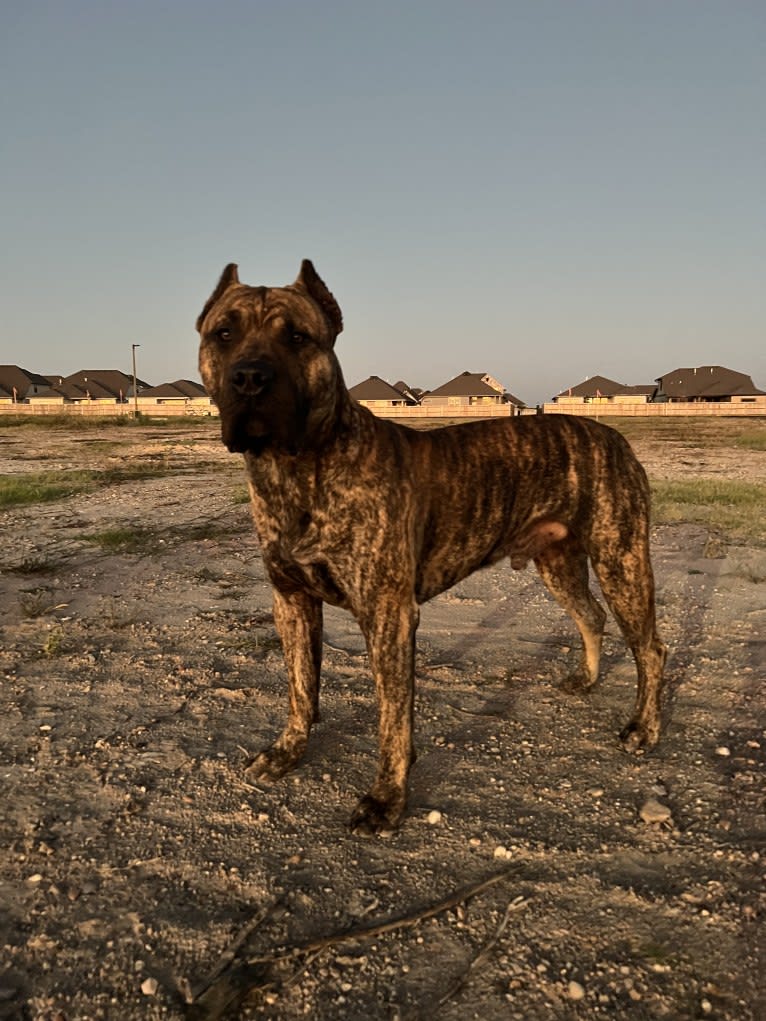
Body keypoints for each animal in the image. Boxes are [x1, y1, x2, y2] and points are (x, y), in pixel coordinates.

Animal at [196, 259, 665, 833]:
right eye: (224, 333)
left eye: (297, 338)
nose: (250, 377)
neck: (295, 470)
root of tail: (615, 437)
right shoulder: (292, 601)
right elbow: (301, 689)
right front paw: (288, 752)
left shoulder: (388, 613)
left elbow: (393, 718)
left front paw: (385, 799)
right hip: (558, 563)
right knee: (591, 616)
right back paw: (586, 680)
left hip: (621, 560)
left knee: (650, 648)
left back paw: (644, 728)